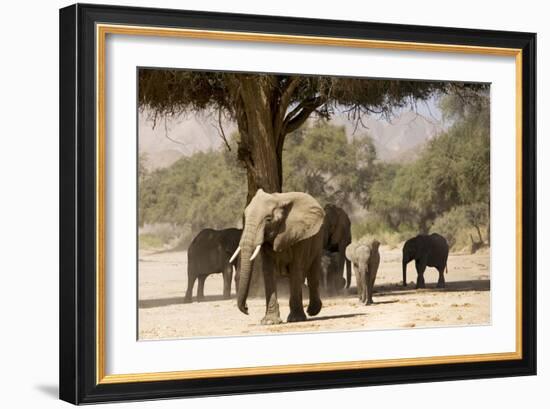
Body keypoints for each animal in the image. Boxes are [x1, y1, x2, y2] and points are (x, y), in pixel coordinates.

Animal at [231, 189, 326, 326]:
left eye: (268, 219)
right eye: (245, 216)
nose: (247, 308)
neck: (279, 200)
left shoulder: (299, 235)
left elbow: (296, 268)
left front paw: (296, 319)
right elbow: (268, 271)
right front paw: (270, 321)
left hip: (318, 238)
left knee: (312, 272)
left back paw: (312, 311)